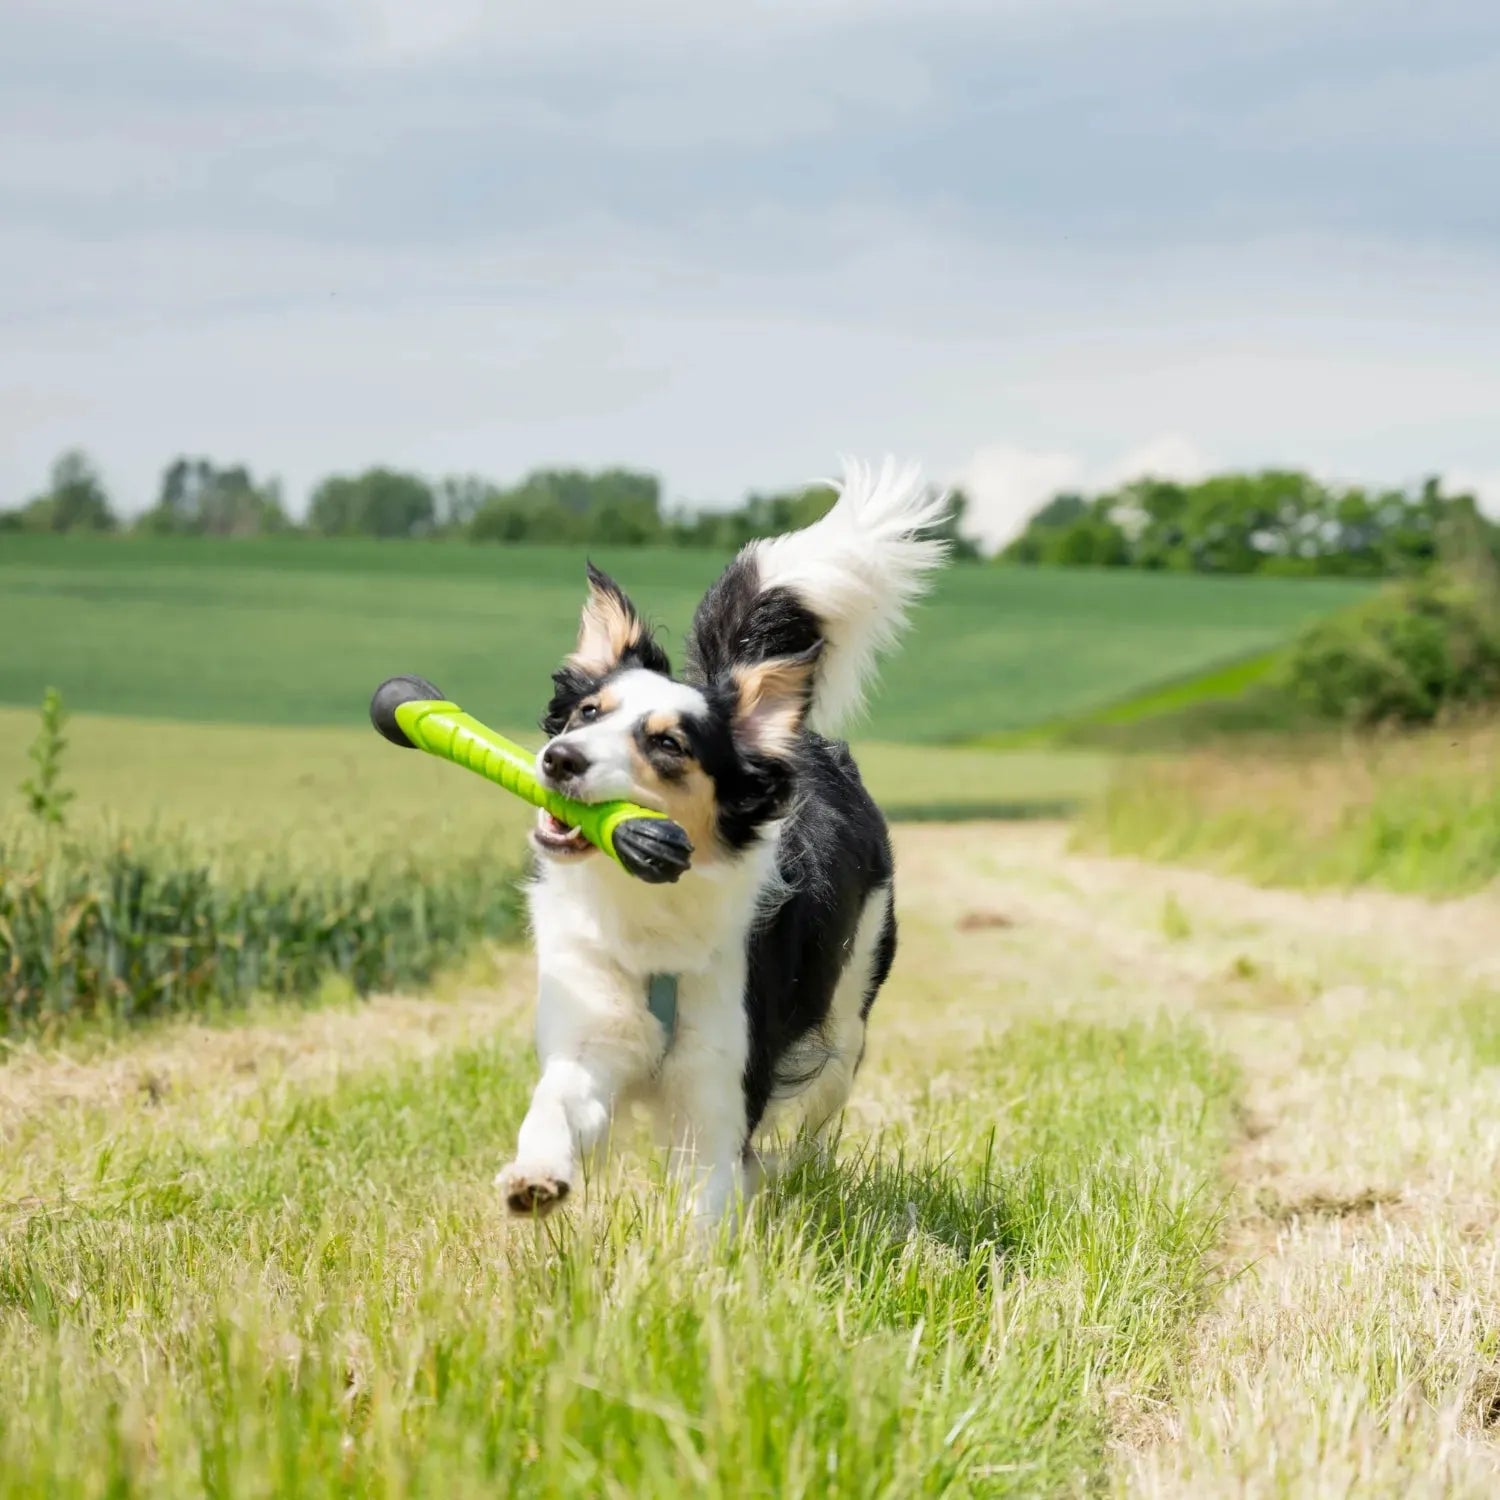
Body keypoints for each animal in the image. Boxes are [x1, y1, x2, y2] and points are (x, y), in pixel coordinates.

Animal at [504, 462, 948, 1224]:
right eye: (588, 713)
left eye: (668, 745)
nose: (559, 759)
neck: (647, 910)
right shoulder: (590, 1032)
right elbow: (556, 1106)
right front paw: (535, 1177)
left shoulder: (719, 1092)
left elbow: (707, 1202)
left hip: (847, 1013)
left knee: (820, 1117)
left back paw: (796, 1175)